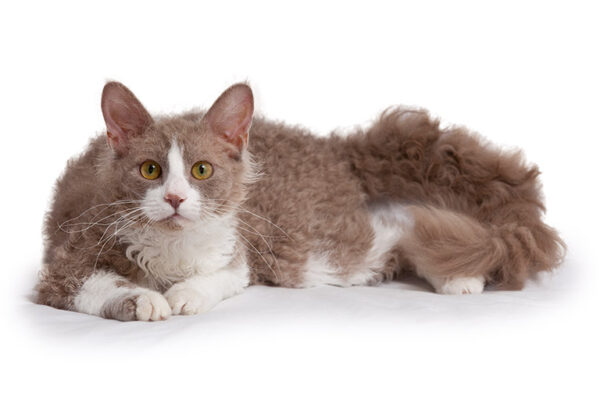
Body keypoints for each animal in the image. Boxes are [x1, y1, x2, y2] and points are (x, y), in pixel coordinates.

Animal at [36, 81, 564, 320]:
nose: (174, 198)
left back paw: (462, 277)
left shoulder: (239, 249)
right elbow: (101, 286)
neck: (171, 248)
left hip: (313, 253)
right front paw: (144, 299)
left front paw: (182, 295)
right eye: (150, 170)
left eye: (201, 170)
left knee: (402, 231)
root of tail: (334, 147)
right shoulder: (66, 262)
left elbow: (216, 279)